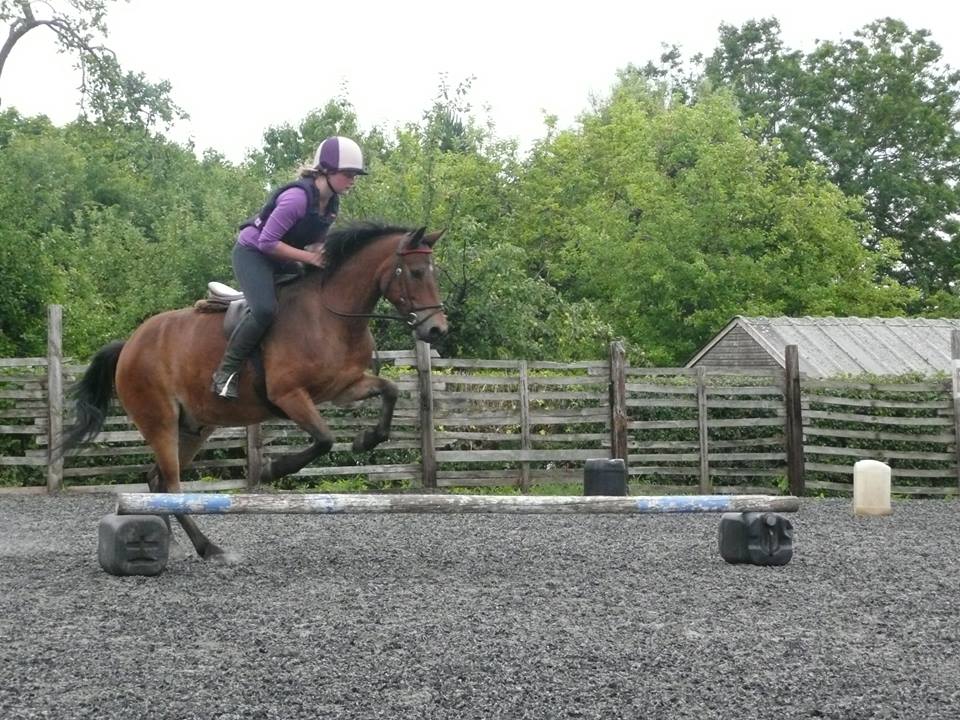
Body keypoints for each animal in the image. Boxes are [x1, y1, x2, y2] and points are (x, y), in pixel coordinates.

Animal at [62, 223, 448, 560]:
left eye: (434, 273)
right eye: (416, 273)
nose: (437, 330)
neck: (331, 314)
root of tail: (129, 344)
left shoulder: (344, 386)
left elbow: (390, 390)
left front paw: (366, 440)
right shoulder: (289, 395)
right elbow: (324, 439)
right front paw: (272, 470)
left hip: (194, 428)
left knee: (158, 481)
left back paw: (178, 541)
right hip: (160, 422)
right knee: (171, 485)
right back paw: (209, 548)